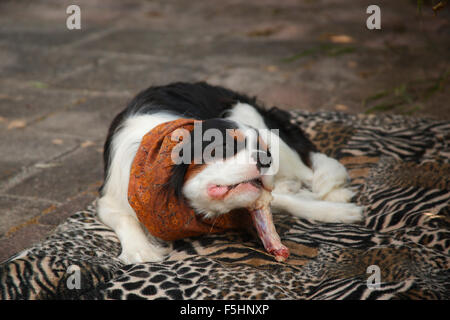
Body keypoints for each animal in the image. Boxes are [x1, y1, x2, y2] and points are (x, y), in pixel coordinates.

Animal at [98, 82, 362, 262]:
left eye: (264, 149)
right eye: (223, 147)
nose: (266, 157)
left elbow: (289, 201)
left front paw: (337, 212)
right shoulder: (109, 197)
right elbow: (121, 218)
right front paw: (140, 251)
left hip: (250, 113)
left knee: (310, 171)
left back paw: (332, 193)